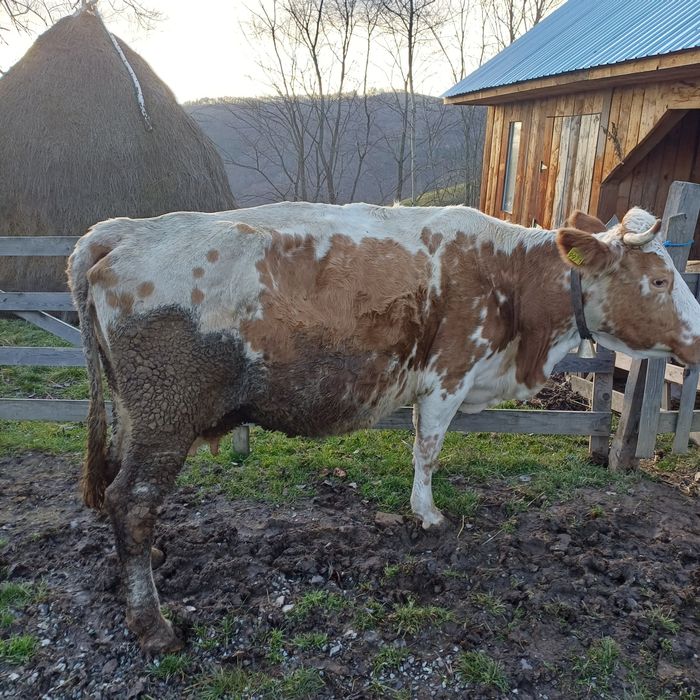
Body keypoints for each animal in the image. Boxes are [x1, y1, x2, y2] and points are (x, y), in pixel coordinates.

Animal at [67, 203, 700, 653]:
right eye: (659, 281)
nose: (699, 339)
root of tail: (119, 231)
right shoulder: (448, 375)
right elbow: (428, 449)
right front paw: (428, 514)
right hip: (166, 415)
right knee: (132, 499)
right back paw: (153, 625)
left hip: (134, 413)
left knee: (123, 493)